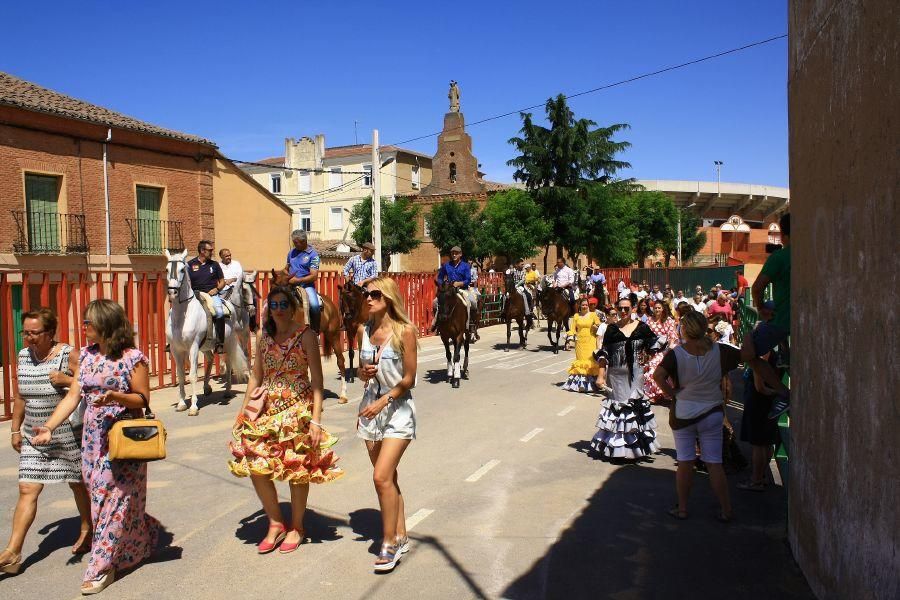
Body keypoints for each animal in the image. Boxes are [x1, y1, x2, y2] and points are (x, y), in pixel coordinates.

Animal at [165, 251, 248, 414]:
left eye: (182, 270)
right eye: (166, 269)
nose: (172, 292)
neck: (182, 316)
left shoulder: (193, 347)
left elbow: (192, 375)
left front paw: (193, 406)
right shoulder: (176, 350)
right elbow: (180, 376)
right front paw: (182, 403)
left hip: (227, 343)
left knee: (228, 362)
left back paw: (227, 391)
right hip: (205, 346)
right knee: (209, 358)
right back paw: (207, 387)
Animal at [270, 268, 348, 404]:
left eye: (288, 288)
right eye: (274, 287)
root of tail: (330, 304)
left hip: (333, 335)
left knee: (340, 361)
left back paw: (343, 395)